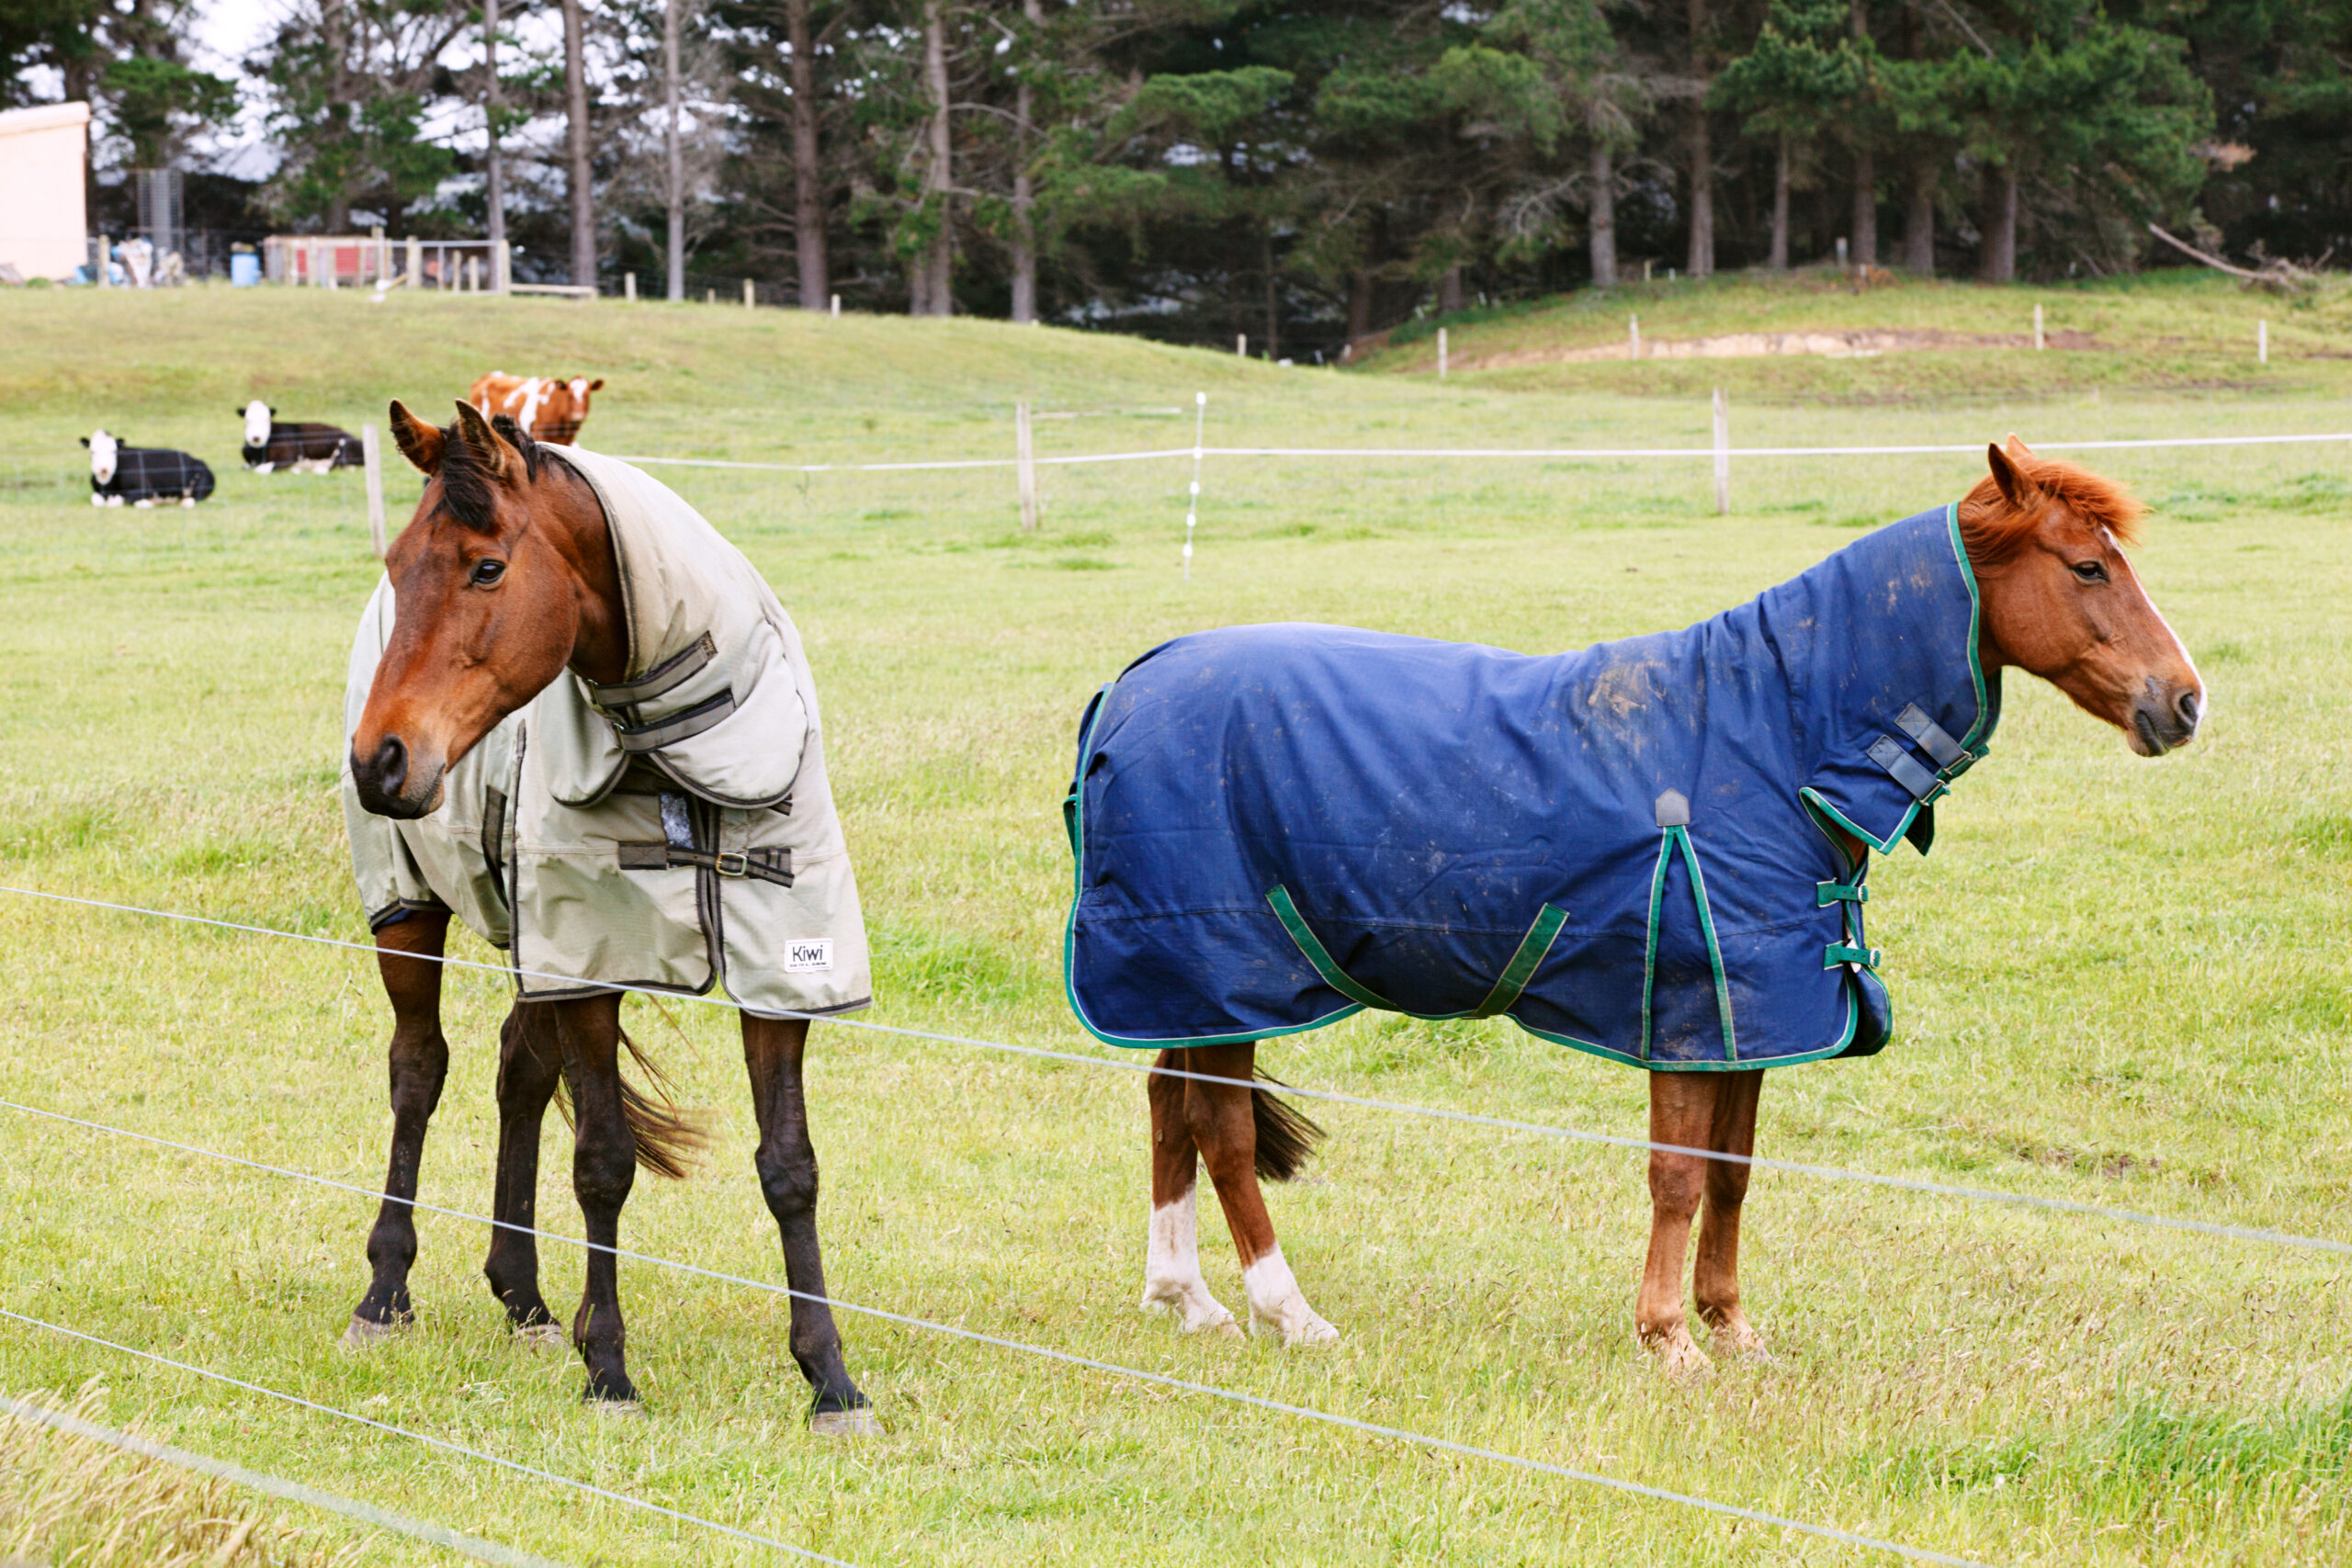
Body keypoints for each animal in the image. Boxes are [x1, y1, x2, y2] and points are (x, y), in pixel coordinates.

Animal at [340, 399, 876, 1429]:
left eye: (487, 567)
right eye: (394, 564)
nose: (379, 759)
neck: (690, 750)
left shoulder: (781, 966)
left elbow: (790, 1165)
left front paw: (830, 1379)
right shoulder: (590, 966)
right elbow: (603, 1161)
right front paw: (612, 1371)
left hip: (530, 944)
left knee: (516, 1072)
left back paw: (525, 1296)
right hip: (409, 908)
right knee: (417, 1071)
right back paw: (385, 1293)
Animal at [1063, 439, 2203, 1371]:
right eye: (2087, 566)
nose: (2184, 702)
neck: (1770, 738)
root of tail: (1131, 687)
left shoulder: (1754, 1019)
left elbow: (1732, 1176)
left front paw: (1731, 1328)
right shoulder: (1691, 1016)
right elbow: (1677, 1176)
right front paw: (1667, 1339)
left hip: (1192, 986)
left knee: (1170, 1106)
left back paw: (1189, 1301)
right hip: (1222, 969)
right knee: (1220, 1129)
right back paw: (1286, 1313)